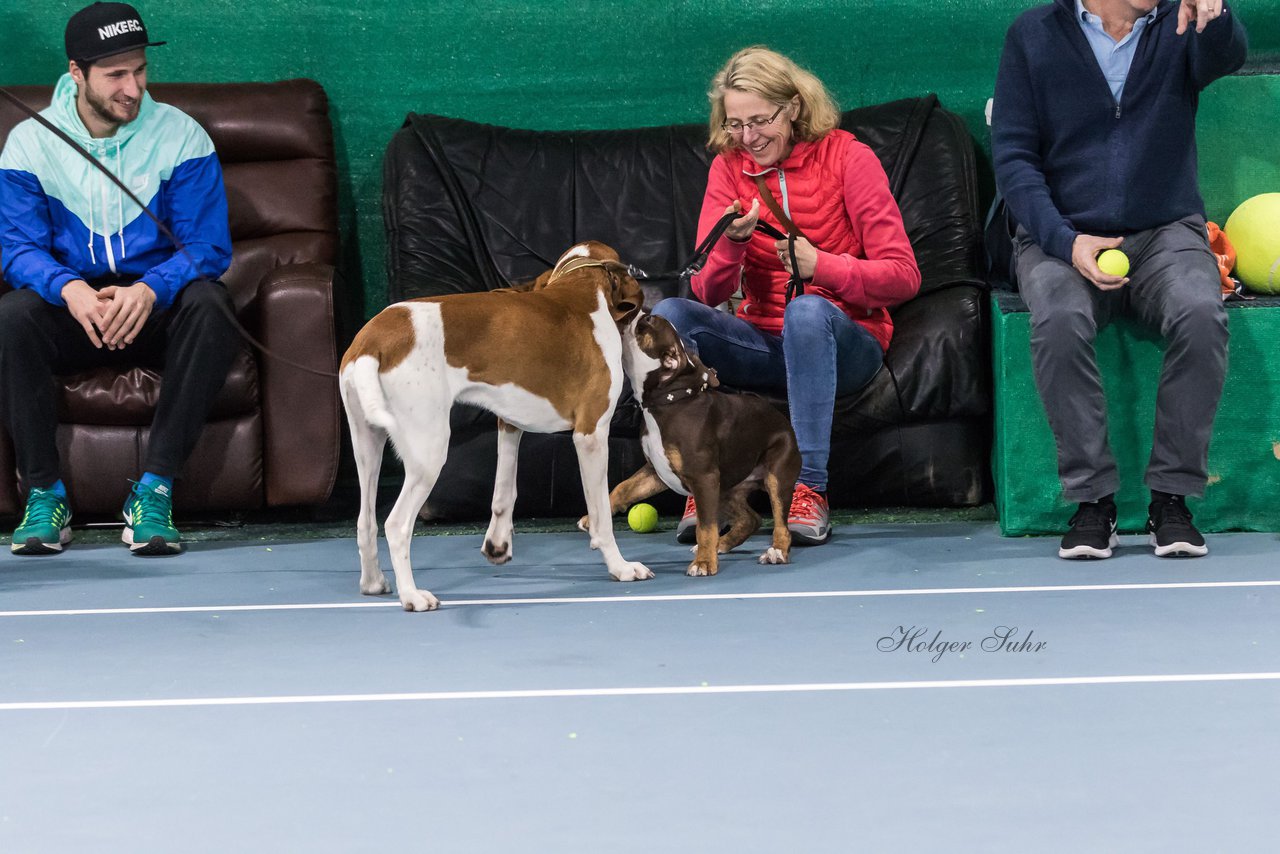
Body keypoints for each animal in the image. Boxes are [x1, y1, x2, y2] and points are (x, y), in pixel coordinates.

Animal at [343, 243, 650, 612]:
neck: (580, 288)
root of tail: (371, 340)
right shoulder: (590, 435)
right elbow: (601, 515)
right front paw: (620, 566)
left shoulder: (509, 423)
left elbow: (505, 491)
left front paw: (498, 543)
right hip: (428, 452)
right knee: (396, 524)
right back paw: (412, 595)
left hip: (367, 448)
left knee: (366, 521)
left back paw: (373, 583)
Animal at [586, 311, 798, 578]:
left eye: (648, 322)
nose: (638, 312)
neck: (669, 401)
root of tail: (785, 421)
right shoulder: (657, 472)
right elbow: (623, 487)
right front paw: (589, 519)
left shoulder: (703, 478)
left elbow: (705, 527)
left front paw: (704, 563)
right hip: (725, 489)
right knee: (751, 519)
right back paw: (723, 544)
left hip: (775, 477)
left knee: (781, 524)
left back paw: (775, 552)